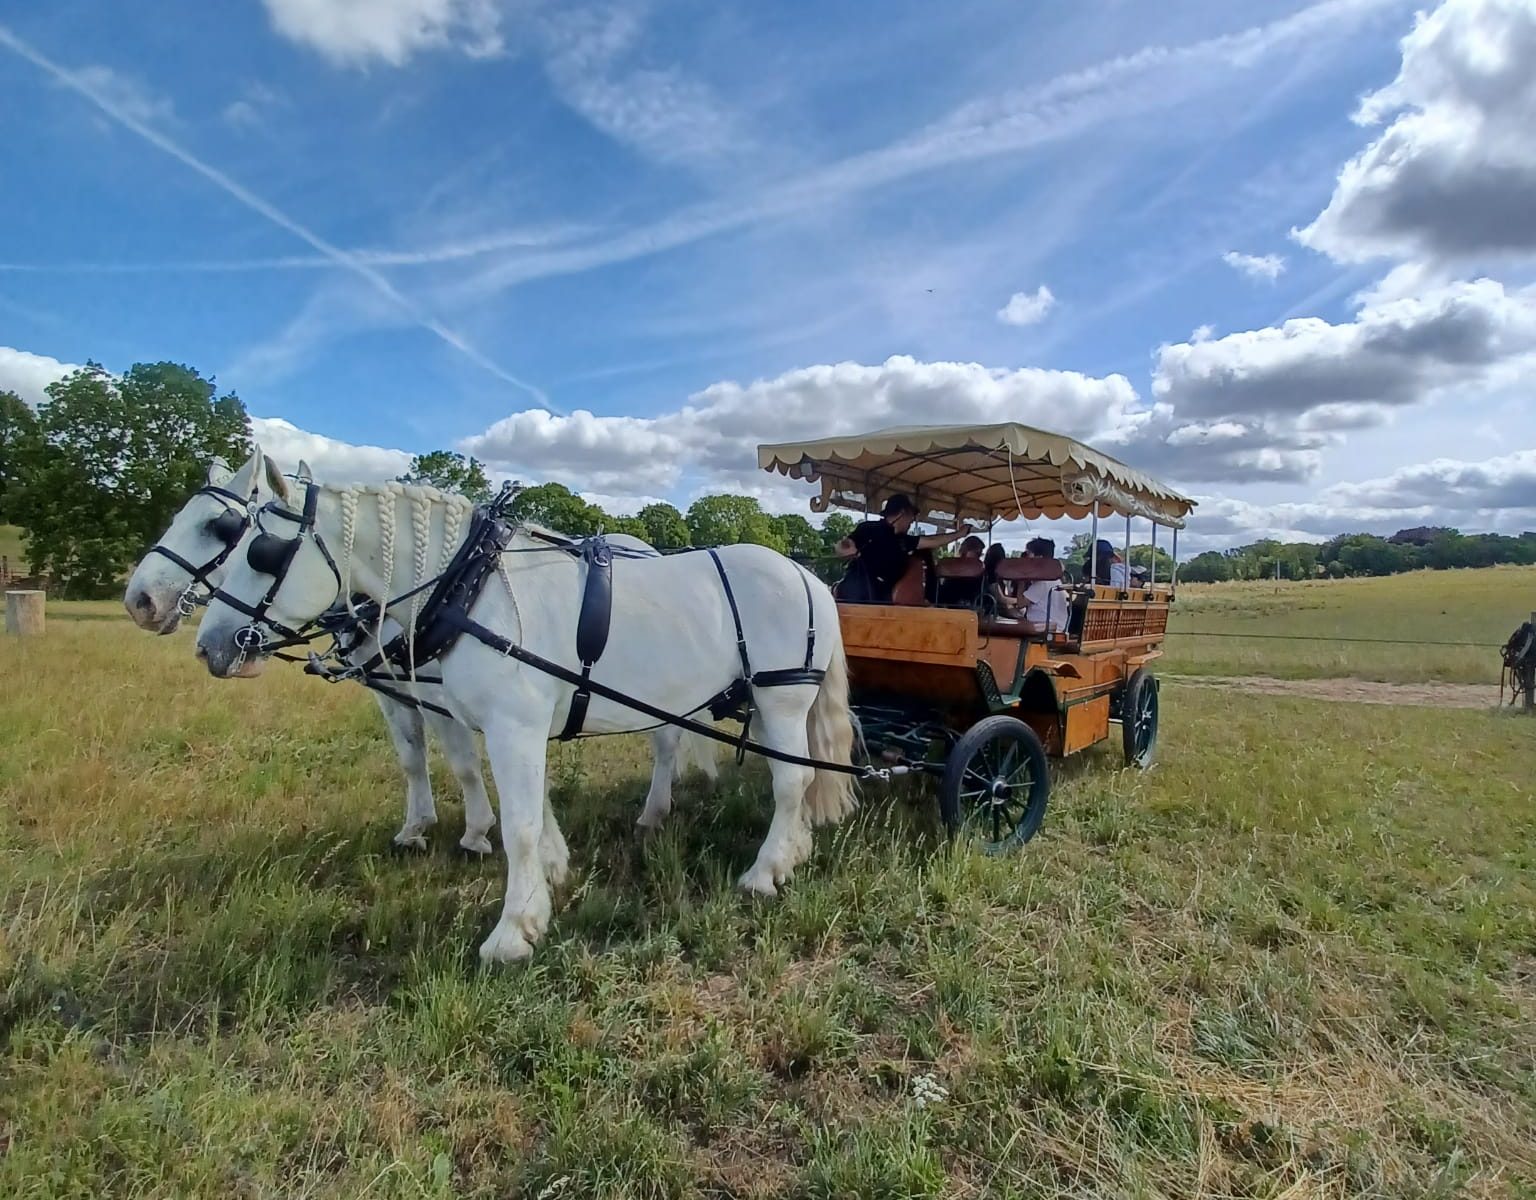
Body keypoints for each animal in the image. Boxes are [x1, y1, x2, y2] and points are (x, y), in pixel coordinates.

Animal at [122, 445, 715, 854]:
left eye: (224, 528)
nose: (139, 601)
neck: (450, 585)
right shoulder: (393, 691)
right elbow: (411, 759)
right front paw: (416, 828)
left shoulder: (440, 698)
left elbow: (464, 764)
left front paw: (477, 834)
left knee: (666, 741)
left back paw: (655, 811)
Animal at [196, 473, 860, 958]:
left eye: (260, 552)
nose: (210, 645)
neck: (469, 588)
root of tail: (806, 574)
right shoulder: (509, 726)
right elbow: (530, 812)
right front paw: (546, 884)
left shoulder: (511, 725)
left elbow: (516, 827)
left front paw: (512, 931)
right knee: (791, 777)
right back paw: (790, 851)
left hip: (780, 698)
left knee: (791, 781)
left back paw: (765, 871)